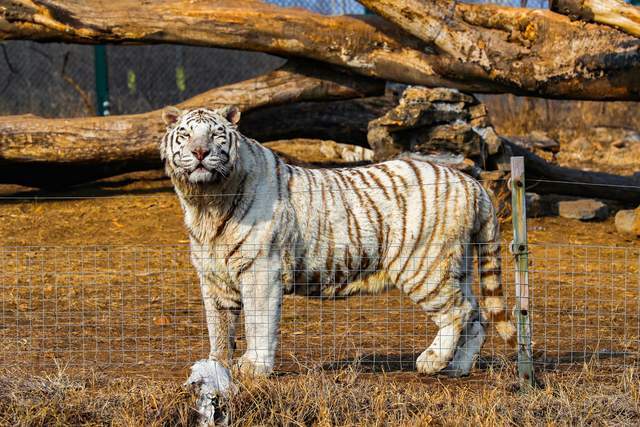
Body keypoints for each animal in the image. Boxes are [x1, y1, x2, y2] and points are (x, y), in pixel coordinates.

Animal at [160, 106, 516, 384]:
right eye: (185, 135)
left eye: (216, 135)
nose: (201, 153)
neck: (206, 203)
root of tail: (472, 183)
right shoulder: (214, 277)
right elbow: (219, 326)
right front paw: (215, 367)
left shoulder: (261, 270)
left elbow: (259, 321)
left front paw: (253, 367)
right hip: (456, 265)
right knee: (478, 315)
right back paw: (458, 368)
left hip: (423, 265)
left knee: (460, 311)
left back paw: (431, 361)